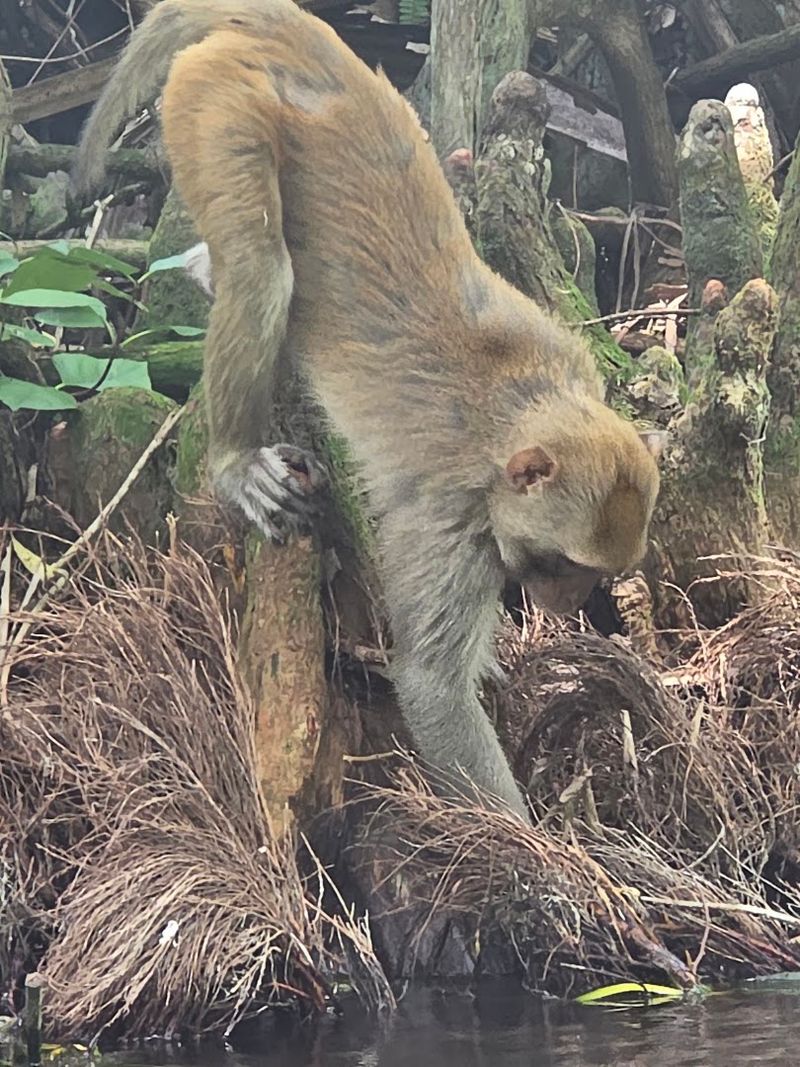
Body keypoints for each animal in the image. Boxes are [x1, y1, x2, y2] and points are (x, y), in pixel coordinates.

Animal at [72, 0, 665, 823]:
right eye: (561, 565)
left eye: (592, 575)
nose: (562, 604)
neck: (520, 410)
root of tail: (305, 46)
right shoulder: (452, 523)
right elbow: (432, 687)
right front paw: (537, 848)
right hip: (214, 100)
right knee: (261, 271)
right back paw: (234, 459)